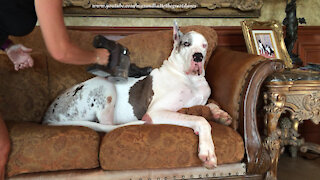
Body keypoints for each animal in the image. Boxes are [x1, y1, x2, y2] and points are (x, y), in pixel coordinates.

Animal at [43, 22, 231, 169]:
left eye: (204, 46)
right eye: (186, 44)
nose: (198, 57)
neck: (190, 79)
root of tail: (48, 114)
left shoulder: (201, 99)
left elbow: (211, 104)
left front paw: (221, 114)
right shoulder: (156, 112)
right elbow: (201, 119)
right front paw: (207, 150)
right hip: (106, 85)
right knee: (108, 125)